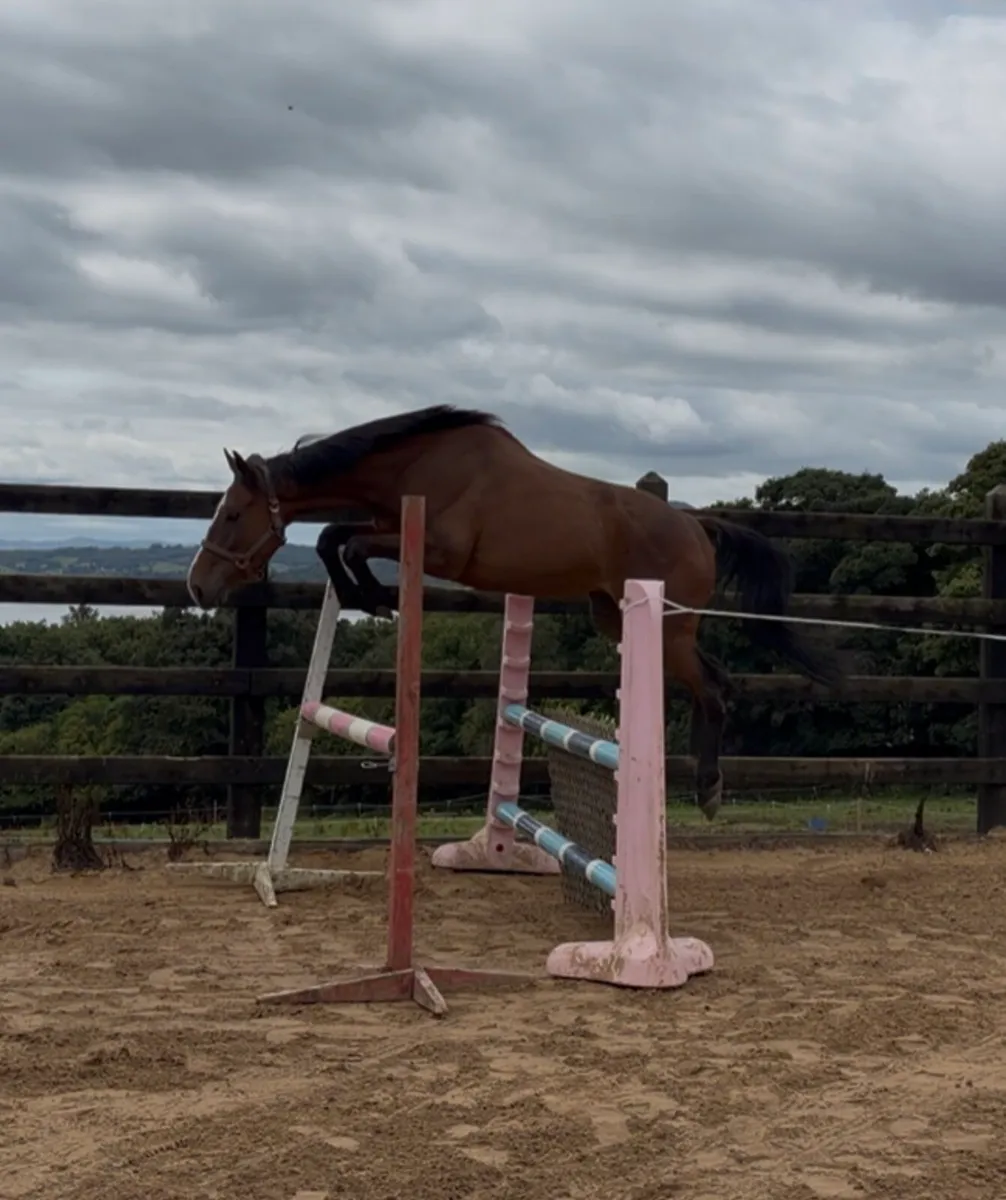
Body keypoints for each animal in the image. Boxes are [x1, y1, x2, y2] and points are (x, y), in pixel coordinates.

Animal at [186, 404, 842, 818]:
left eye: (233, 515)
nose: (197, 586)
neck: (415, 463)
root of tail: (698, 526)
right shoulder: (386, 524)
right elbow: (333, 537)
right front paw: (365, 597)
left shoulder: (438, 549)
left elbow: (343, 543)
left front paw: (372, 596)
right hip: (619, 616)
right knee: (713, 681)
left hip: (669, 628)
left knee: (715, 688)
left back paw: (708, 790)